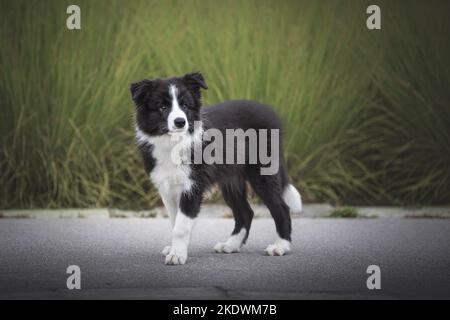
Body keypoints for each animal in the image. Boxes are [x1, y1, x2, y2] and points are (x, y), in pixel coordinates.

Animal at [130, 72, 302, 264]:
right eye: (162, 106)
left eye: (185, 105)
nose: (180, 122)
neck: (174, 143)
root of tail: (270, 113)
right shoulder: (166, 187)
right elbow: (175, 221)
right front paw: (175, 250)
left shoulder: (193, 186)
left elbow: (181, 226)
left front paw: (177, 256)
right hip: (231, 179)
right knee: (246, 212)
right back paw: (231, 245)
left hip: (262, 173)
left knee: (281, 208)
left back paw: (280, 246)